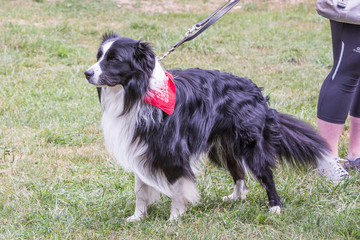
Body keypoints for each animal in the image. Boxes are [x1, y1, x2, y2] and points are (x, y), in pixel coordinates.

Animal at [84, 33, 332, 221]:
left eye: (114, 59)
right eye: (99, 56)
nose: (87, 73)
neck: (138, 93)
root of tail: (256, 91)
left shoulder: (173, 150)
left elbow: (177, 187)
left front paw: (175, 218)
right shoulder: (141, 146)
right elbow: (141, 190)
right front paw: (138, 217)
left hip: (250, 143)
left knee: (265, 174)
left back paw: (275, 207)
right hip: (224, 144)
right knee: (238, 171)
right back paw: (236, 198)